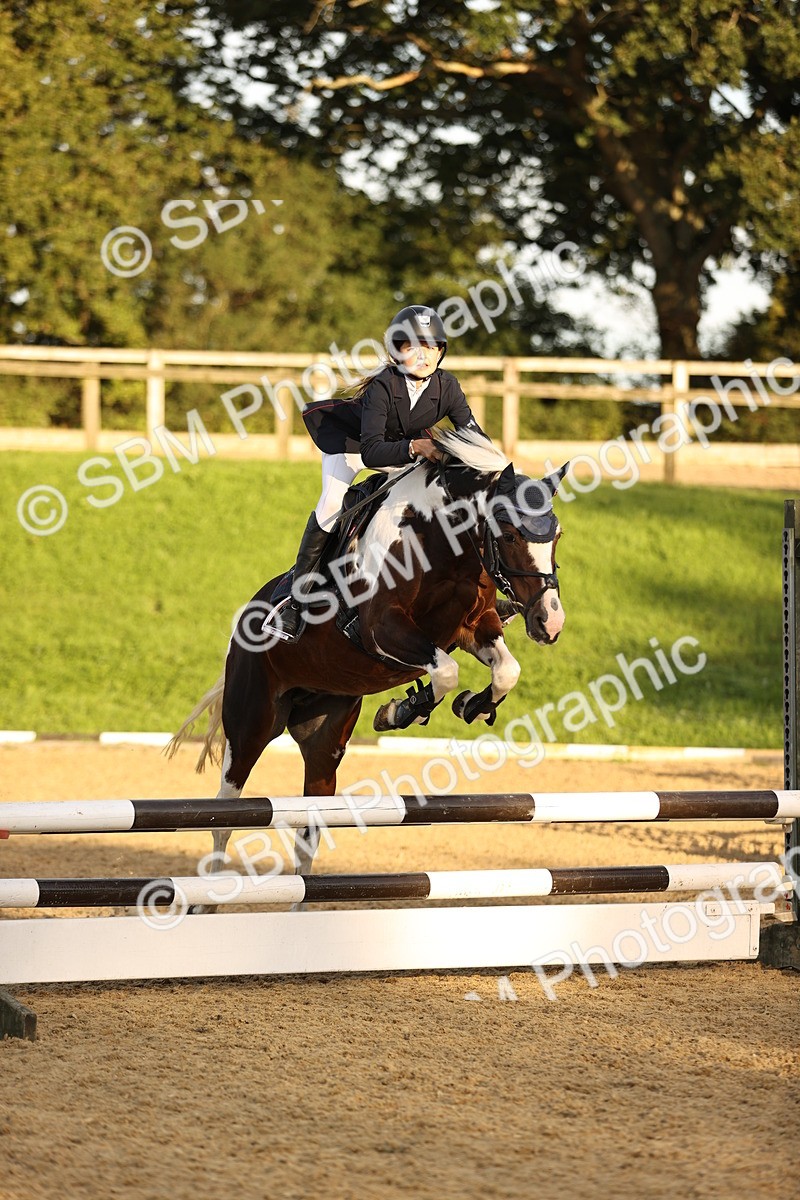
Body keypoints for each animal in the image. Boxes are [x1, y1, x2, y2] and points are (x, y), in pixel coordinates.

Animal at [167, 428, 566, 887]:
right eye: (510, 534)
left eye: (556, 536)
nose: (549, 622)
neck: (438, 540)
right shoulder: (381, 628)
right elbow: (446, 671)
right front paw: (403, 710)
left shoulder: (473, 626)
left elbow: (505, 671)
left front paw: (472, 704)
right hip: (250, 723)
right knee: (225, 815)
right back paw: (213, 890)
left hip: (324, 741)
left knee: (308, 831)